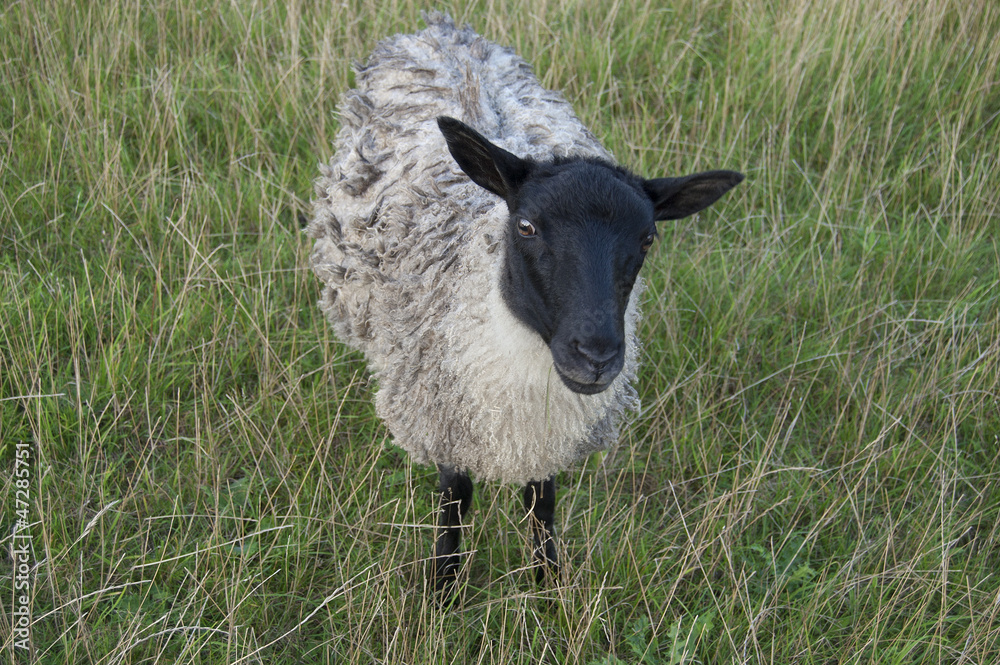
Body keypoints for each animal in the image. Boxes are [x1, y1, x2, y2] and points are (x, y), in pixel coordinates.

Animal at [307, 12, 743, 591]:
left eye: (648, 238)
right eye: (527, 226)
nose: (596, 357)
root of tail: (440, 26)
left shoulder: (544, 443)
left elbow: (542, 506)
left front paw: (548, 588)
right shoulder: (445, 419)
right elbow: (455, 501)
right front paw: (442, 592)